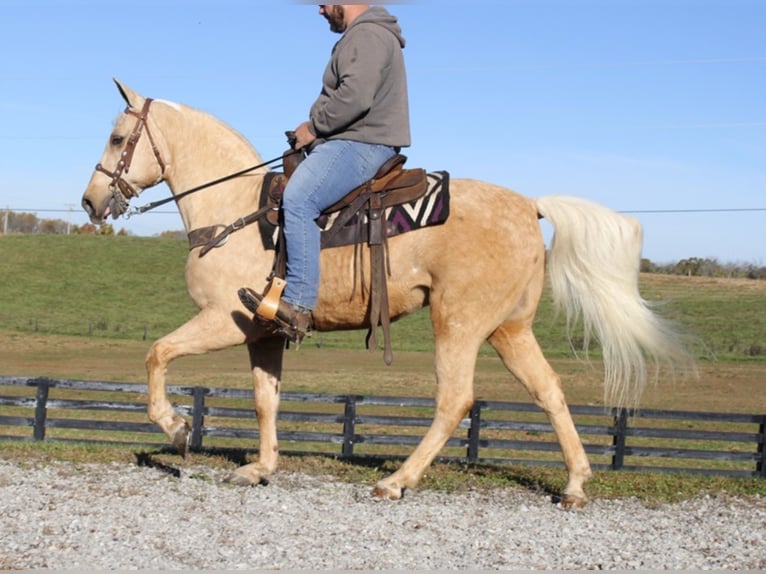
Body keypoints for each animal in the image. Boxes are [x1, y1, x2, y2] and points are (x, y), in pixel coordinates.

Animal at [81, 79, 692, 510]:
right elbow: (265, 400)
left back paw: (397, 482)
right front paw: (260, 469)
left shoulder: (223, 321)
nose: (90, 202)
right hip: (508, 329)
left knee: (455, 400)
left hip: (459, 323)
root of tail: (530, 206)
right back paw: (575, 485)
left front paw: (176, 427)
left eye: (117, 138)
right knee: (549, 391)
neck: (236, 211)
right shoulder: (264, 333)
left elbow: (157, 353)